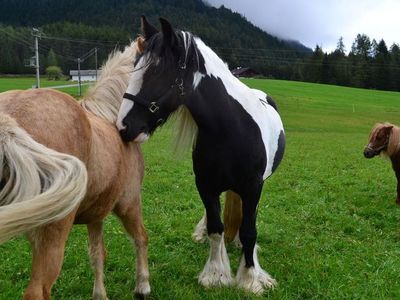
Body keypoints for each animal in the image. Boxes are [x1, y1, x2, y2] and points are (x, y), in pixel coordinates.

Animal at [0, 39, 150, 298]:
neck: (107, 114)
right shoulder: (129, 203)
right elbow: (140, 238)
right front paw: (142, 287)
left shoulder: (96, 214)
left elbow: (97, 255)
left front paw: (100, 295)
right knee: (37, 290)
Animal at [117, 15, 286, 292]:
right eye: (135, 67)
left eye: (157, 71)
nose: (123, 127)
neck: (231, 129)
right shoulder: (205, 186)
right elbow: (216, 228)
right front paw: (216, 274)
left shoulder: (253, 187)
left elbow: (250, 230)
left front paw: (250, 277)